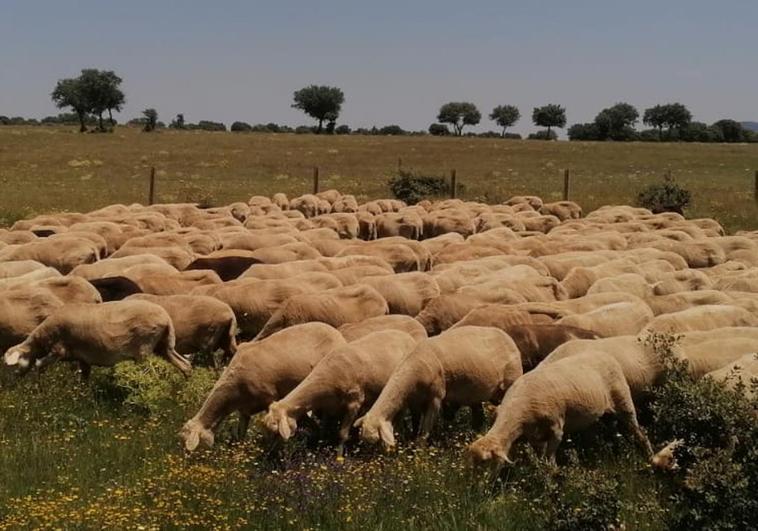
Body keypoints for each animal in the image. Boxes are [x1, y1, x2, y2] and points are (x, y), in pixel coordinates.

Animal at [4, 302, 193, 380]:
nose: (15, 378)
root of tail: (166, 318)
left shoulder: (59, 351)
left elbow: (39, 364)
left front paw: (39, 387)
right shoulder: (83, 358)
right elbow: (84, 377)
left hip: (144, 348)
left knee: (152, 374)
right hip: (164, 345)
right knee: (185, 365)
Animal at [264, 330, 418, 456]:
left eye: (277, 432)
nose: (270, 454)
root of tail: (405, 335)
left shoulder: (354, 403)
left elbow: (342, 434)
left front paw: (339, 458)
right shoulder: (328, 405)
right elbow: (323, 428)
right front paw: (320, 446)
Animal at [354, 328, 524, 448]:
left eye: (377, 440)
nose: (383, 460)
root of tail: (506, 336)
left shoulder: (435, 398)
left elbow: (424, 433)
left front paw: (419, 452)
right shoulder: (414, 402)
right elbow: (415, 424)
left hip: (511, 380)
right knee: (478, 418)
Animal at [470, 354, 652, 470]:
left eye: (485, 462)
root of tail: (606, 355)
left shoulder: (556, 429)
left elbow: (550, 461)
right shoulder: (533, 435)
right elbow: (541, 459)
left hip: (623, 401)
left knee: (640, 433)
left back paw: (649, 458)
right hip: (598, 414)